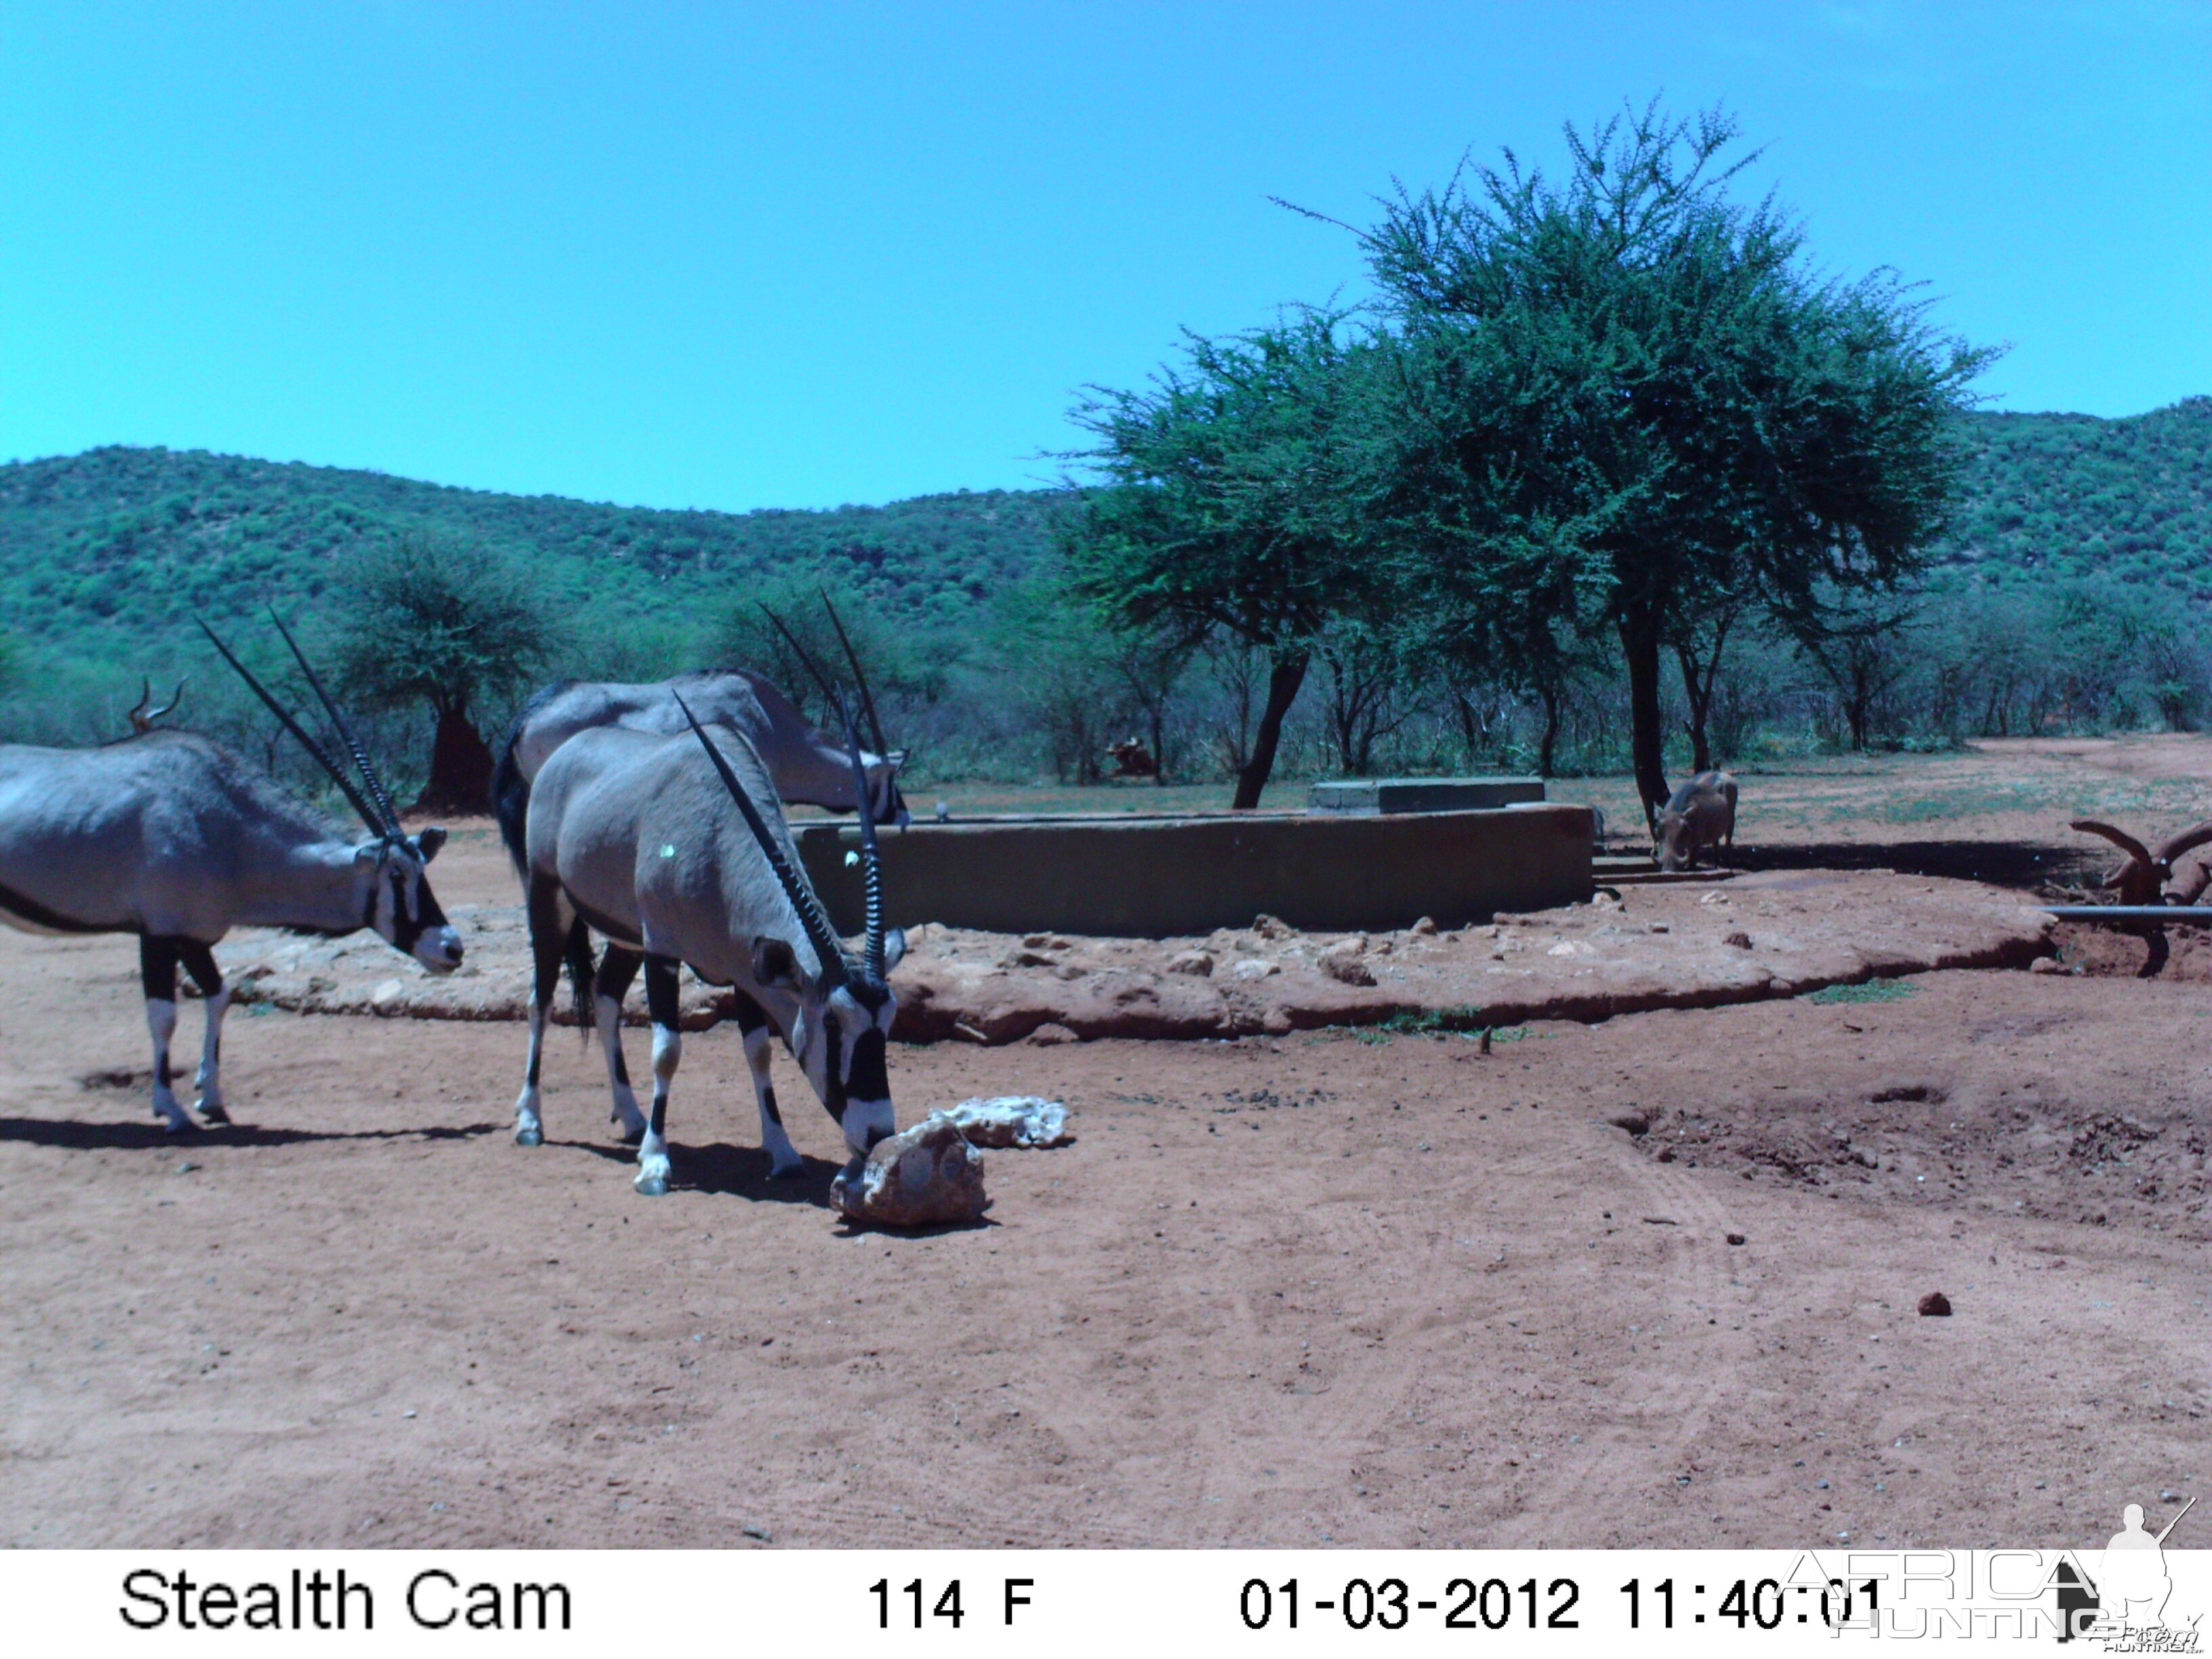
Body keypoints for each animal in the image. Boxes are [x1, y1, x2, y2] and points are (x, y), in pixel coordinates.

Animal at [0, 619, 462, 1141]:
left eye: (424, 868)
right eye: (397, 873)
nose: (452, 948)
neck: (225, 822)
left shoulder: (194, 937)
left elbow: (219, 996)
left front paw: (212, 1098)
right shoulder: (158, 933)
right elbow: (163, 1016)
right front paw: (172, 1109)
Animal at [506, 694, 898, 1203]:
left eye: (887, 1023)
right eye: (832, 1024)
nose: (878, 1133)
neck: (717, 837)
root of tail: (567, 751)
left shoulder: (745, 970)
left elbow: (758, 1051)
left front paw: (783, 1152)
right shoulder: (663, 952)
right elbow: (667, 1052)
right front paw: (655, 1165)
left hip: (627, 935)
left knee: (606, 997)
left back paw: (631, 1117)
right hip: (548, 897)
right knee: (542, 1000)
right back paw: (531, 1121)